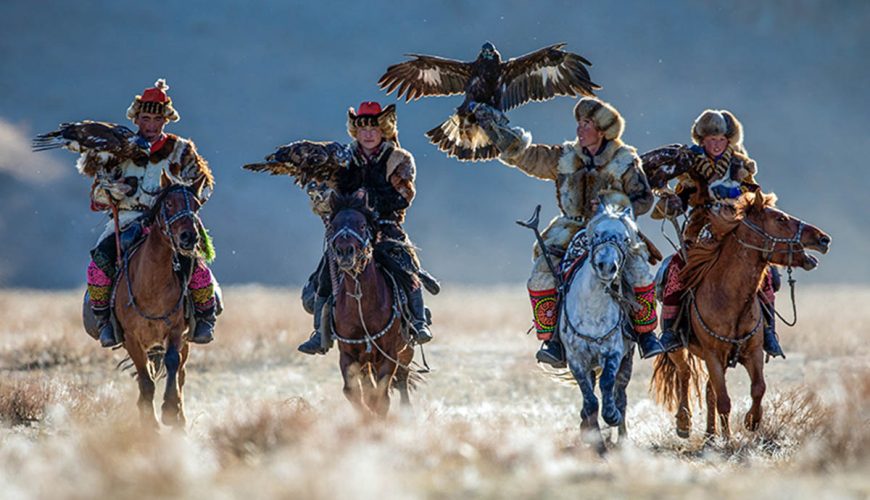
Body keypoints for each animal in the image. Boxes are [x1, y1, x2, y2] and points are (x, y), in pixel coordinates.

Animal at [113, 173, 209, 430]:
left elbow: (172, 363)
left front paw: (169, 409)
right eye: (169, 204)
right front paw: (150, 424)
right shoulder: (131, 338)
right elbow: (146, 380)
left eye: (197, 205)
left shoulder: (176, 331)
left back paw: (181, 420)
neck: (151, 286)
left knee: (182, 374)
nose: (189, 237)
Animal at [326, 191, 418, 418]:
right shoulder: (348, 354)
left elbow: (381, 398)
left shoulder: (388, 354)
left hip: (405, 350)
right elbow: (353, 392)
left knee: (402, 378)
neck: (362, 303)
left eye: (361, 225)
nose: (345, 251)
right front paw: (366, 417)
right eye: (333, 225)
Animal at [560, 201, 648, 452]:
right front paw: (596, 442)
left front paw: (612, 416)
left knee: (621, 394)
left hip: (628, 359)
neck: (592, 309)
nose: (607, 266)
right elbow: (590, 400)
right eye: (597, 234)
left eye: (626, 238)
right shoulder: (576, 359)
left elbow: (608, 385)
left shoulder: (614, 352)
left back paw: (623, 438)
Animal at [656, 189, 832, 440]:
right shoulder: (713, 354)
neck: (730, 297)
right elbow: (724, 399)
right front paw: (728, 438)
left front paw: (752, 421)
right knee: (685, 373)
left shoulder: (753, 352)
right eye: (780, 219)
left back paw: (710, 435)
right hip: (679, 350)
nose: (823, 239)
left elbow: (758, 388)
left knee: (708, 389)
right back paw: (684, 423)